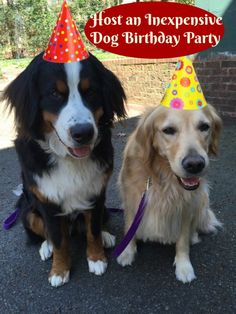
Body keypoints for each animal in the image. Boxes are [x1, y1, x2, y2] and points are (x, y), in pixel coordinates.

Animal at [1, 52, 126, 288]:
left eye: (91, 91)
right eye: (54, 93)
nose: (83, 133)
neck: (69, 158)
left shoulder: (96, 194)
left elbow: (93, 230)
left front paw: (96, 258)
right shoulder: (48, 202)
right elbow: (59, 241)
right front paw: (59, 270)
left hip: (104, 208)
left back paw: (106, 236)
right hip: (27, 212)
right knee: (47, 234)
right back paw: (46, 247)